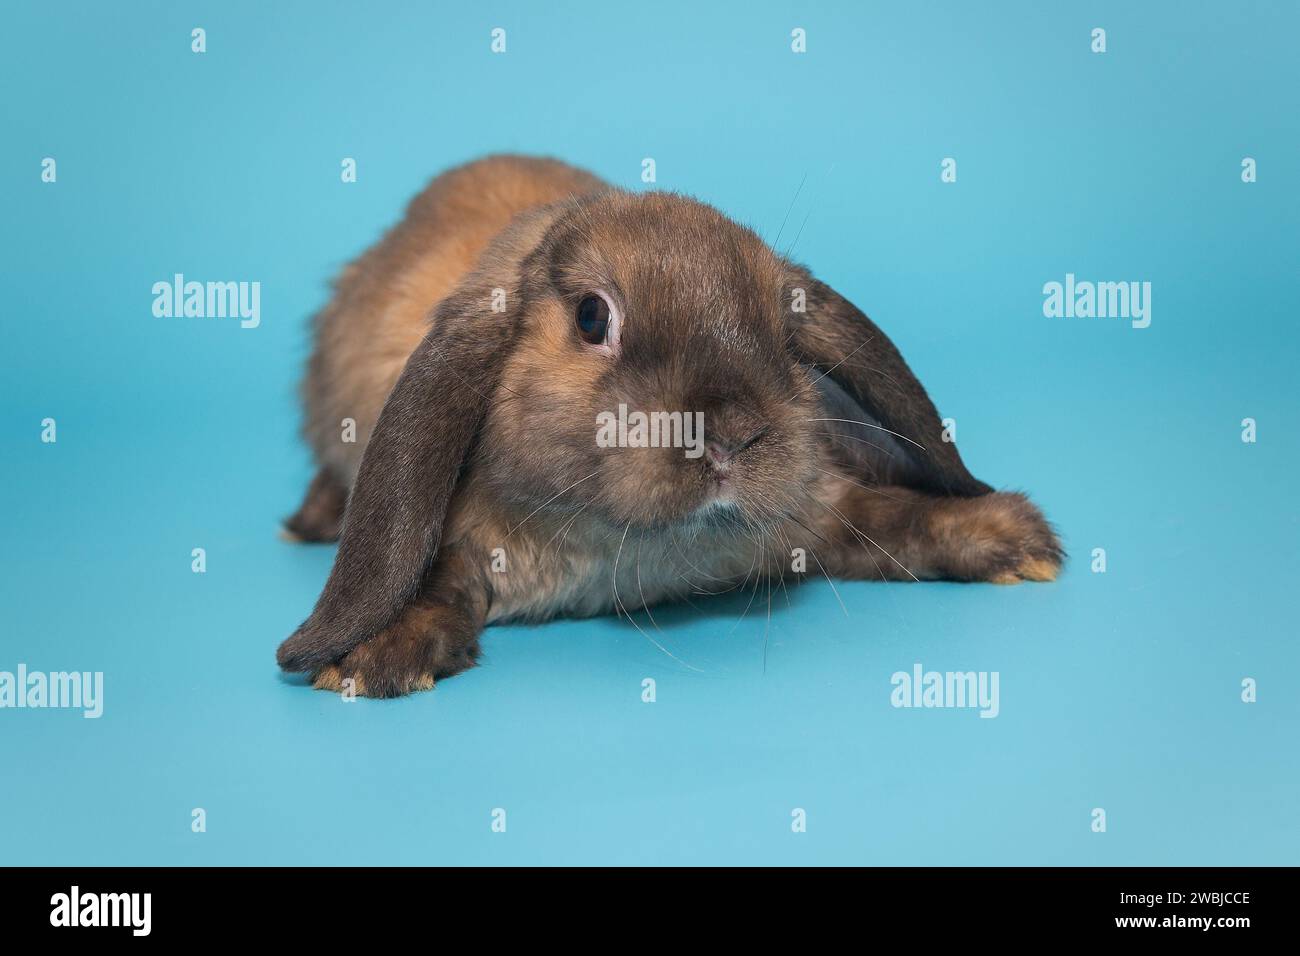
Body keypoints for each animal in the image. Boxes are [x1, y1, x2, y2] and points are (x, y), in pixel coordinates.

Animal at [276, 154, 1062, 697]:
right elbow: (437, 575)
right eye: (593, 317)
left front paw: (1010, 537)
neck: (623, 549)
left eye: (784, 334)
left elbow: (890, 517)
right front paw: (375, 654)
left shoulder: (819, 515)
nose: (731, 434)